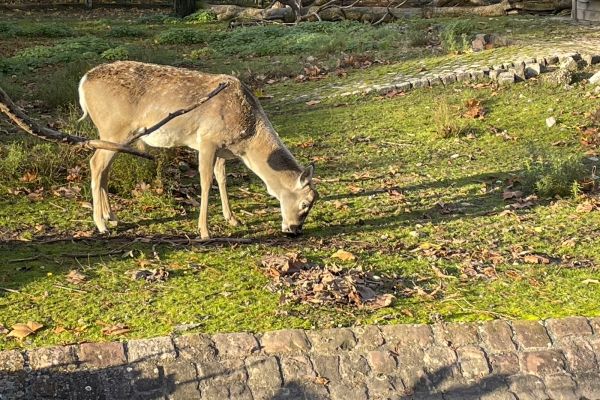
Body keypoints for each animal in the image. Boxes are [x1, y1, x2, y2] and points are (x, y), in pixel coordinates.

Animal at [78, 60, 318, 238]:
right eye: (305, 203)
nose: (294, 230)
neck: (245, 140)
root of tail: (83, 81)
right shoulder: (207, 140)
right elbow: (205, 182)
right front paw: (204, 231)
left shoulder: (222, 148)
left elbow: (222, 177)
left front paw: (232, 218)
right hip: (114, 128)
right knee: (95, 163)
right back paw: (101, 224)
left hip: (115, 135)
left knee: (104, 168)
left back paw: (112, 217)